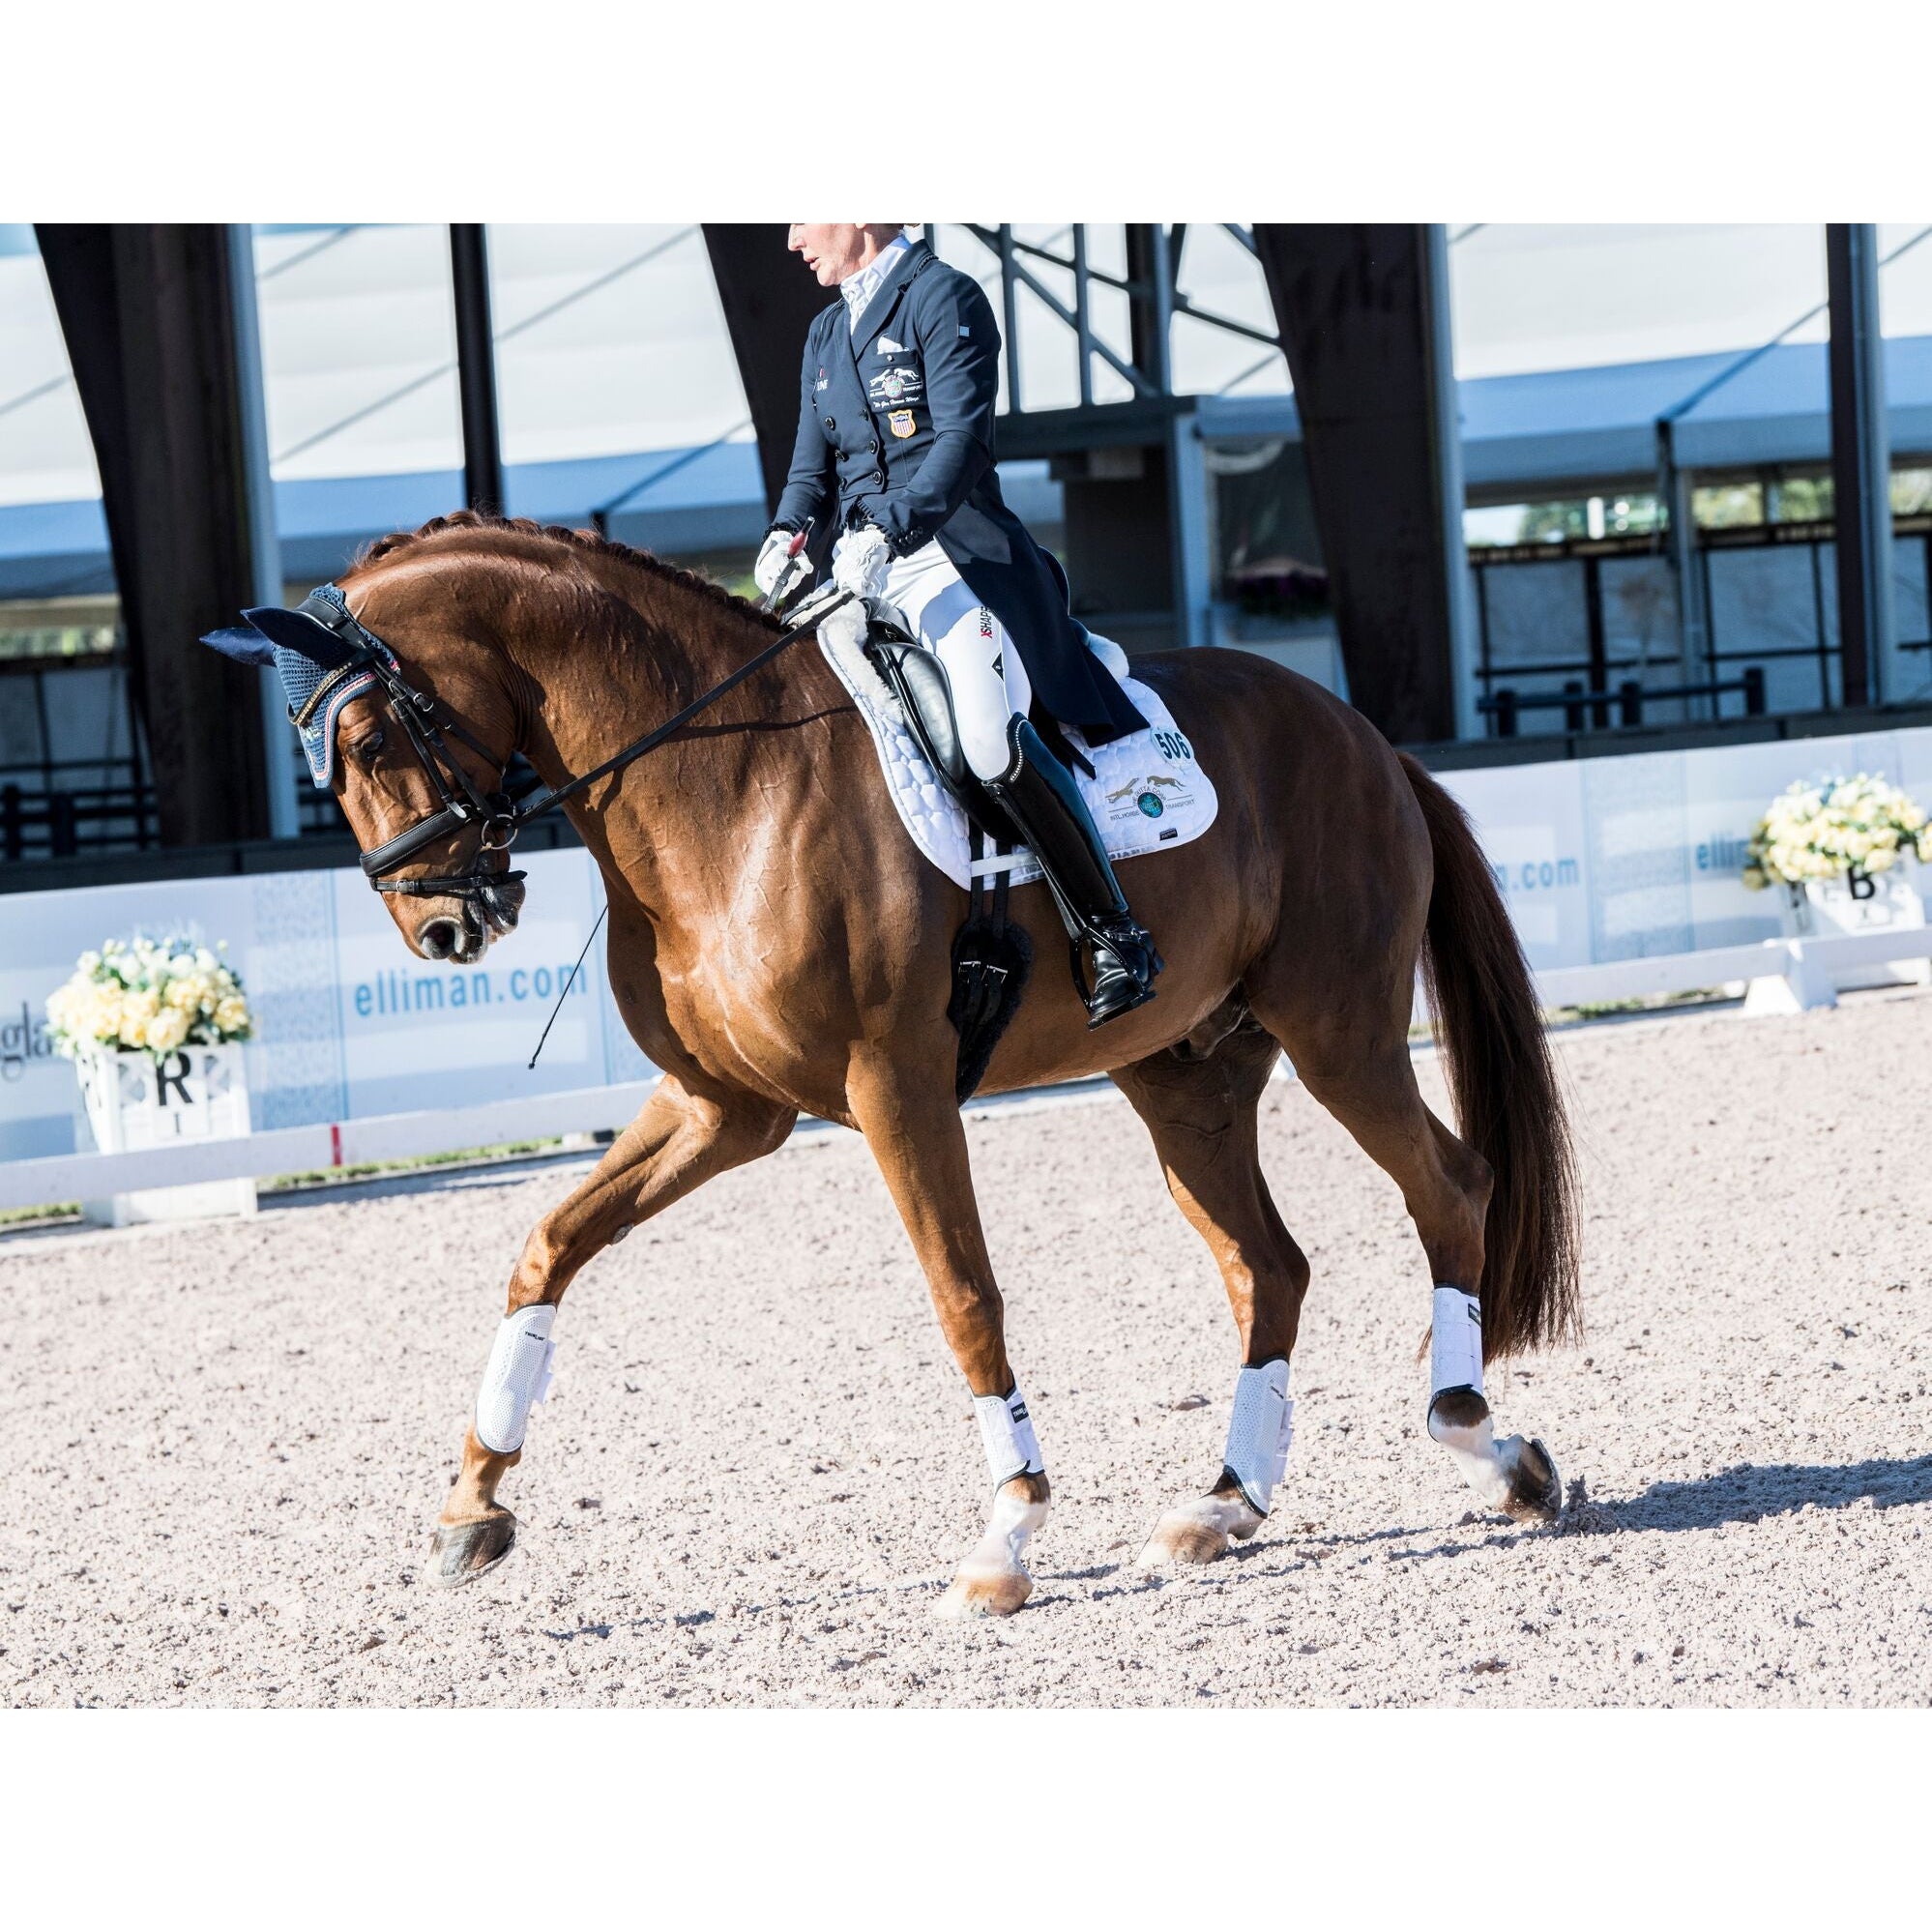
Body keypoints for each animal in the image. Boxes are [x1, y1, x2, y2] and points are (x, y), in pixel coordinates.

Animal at [218, 512, 1579, 1617]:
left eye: (367, 737)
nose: (446, 931)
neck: (726, 781)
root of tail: (1367, 739)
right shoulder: (723, 1107)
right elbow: (550, 1244)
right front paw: (474, 1507)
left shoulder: (894, 1090)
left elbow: (963, 1299)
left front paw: (1007, 1544)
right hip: (1186, 1076)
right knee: (1267, 1266)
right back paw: (1226, 1503)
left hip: (1339, 1034)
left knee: (1449, 1188)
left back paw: (1490, 1447)